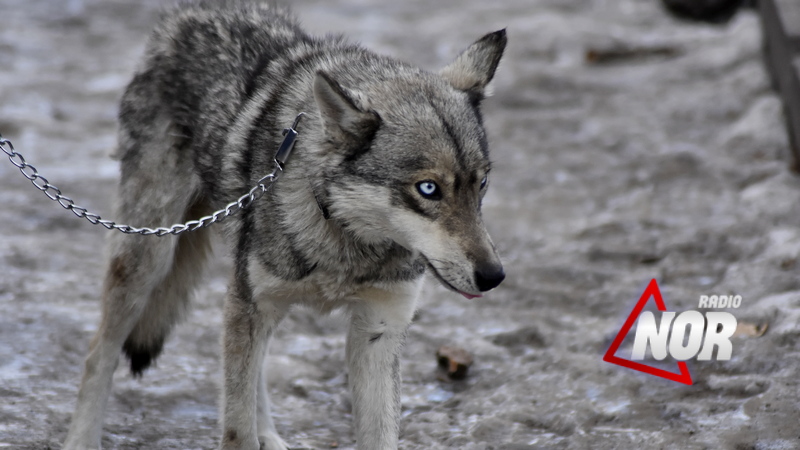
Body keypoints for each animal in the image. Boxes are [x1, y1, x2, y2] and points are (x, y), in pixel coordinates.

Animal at [67, 1, 506, 448]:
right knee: (98, 353)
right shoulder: (251, 306)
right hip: (149, 257)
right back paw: (82, 439)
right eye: (429, 189)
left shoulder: (378, 331)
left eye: (482, 183)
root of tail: (194, 12)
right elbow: (235, 428)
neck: (345, 239)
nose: (493, 276)